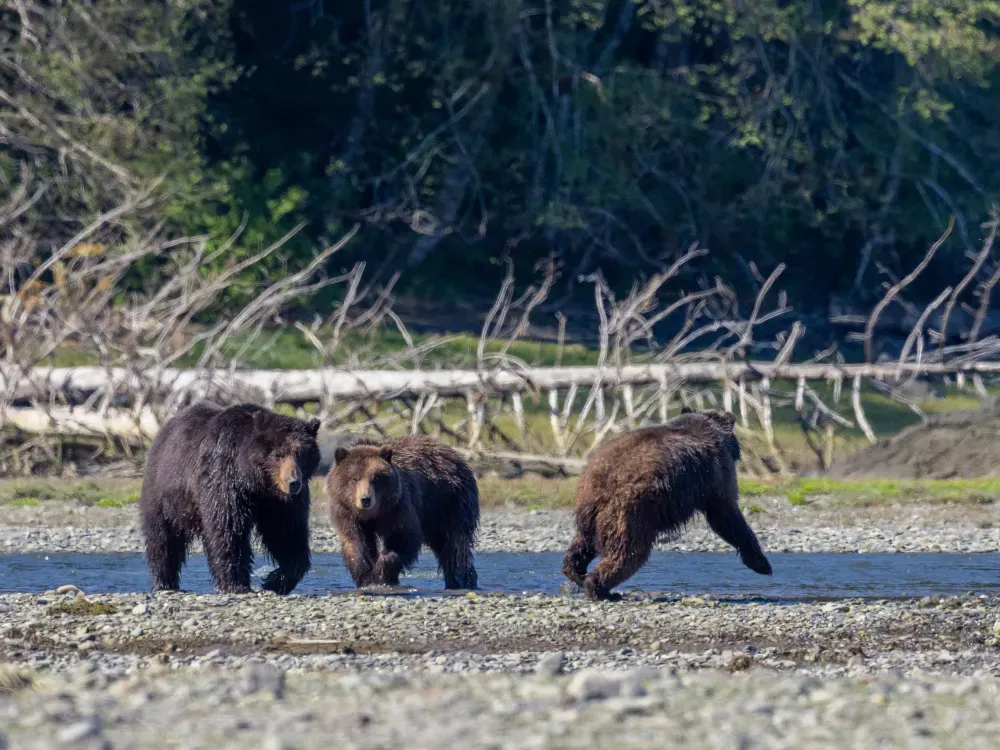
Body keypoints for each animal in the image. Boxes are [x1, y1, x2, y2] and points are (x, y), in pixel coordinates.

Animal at [139, 401, 321, 595]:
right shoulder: (225, 480)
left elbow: (286, 532)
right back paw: (164, 582)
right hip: (167, 495)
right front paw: (236, 583)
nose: (293, 483)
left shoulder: (280, 502)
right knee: (163, 537)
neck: (256, 482)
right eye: (278, 455)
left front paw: (276, 580)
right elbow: (228, 528)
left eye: (301, 454)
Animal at [325, 435, 479, 590]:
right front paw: (365, 575)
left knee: (454, 545)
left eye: (376, 478)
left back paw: (461, 579)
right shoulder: (347, 513)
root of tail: (456, 456)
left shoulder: (397, 506)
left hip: (449, 502)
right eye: (354, 478)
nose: (365, 499)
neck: (373, 514)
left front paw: (381, 573)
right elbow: (354, 541)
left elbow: (404, 535)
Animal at [562, 406, 772, 601]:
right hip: (631, 511)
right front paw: (762, 564)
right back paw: (602, 589)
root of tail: (601, 480)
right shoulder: (716, 475)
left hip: (590, 510)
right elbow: (726, 515)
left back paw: (577, 572)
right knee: (627, 552)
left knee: (583, 543)